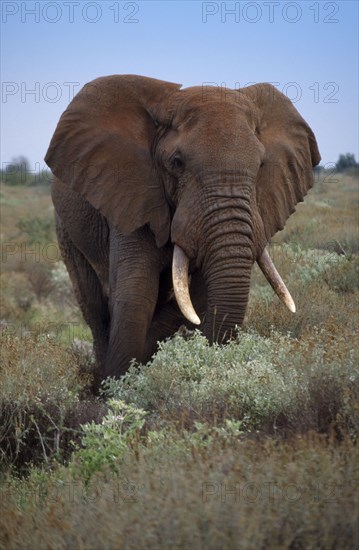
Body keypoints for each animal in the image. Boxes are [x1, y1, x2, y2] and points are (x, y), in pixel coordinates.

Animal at [45, 75, 320, 390]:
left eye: (261, 165)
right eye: (177, 163)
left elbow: (197, 293)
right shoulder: (133, 192)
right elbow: (136, 291)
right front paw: (118, 387)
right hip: (66, 226)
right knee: (93, 304)